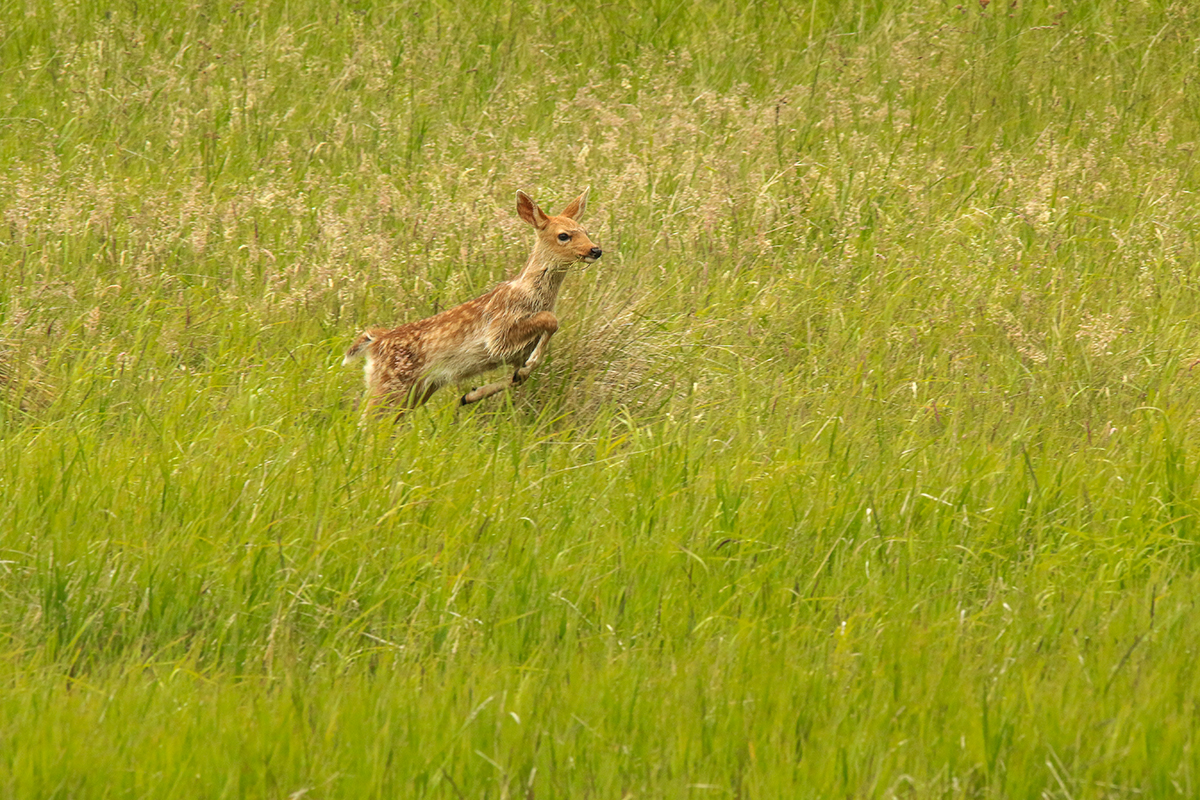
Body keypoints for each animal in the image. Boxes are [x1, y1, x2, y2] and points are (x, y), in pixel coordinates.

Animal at [343, 188, 600, 412]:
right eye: (563, 236)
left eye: (586, 231)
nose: (595, 250)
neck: (529, 294)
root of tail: (376, 341)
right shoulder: (499, 332)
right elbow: (550, 320)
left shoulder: (516, 353)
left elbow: (521, 375)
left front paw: (471, 395)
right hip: (391, 384)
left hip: (417, 389)